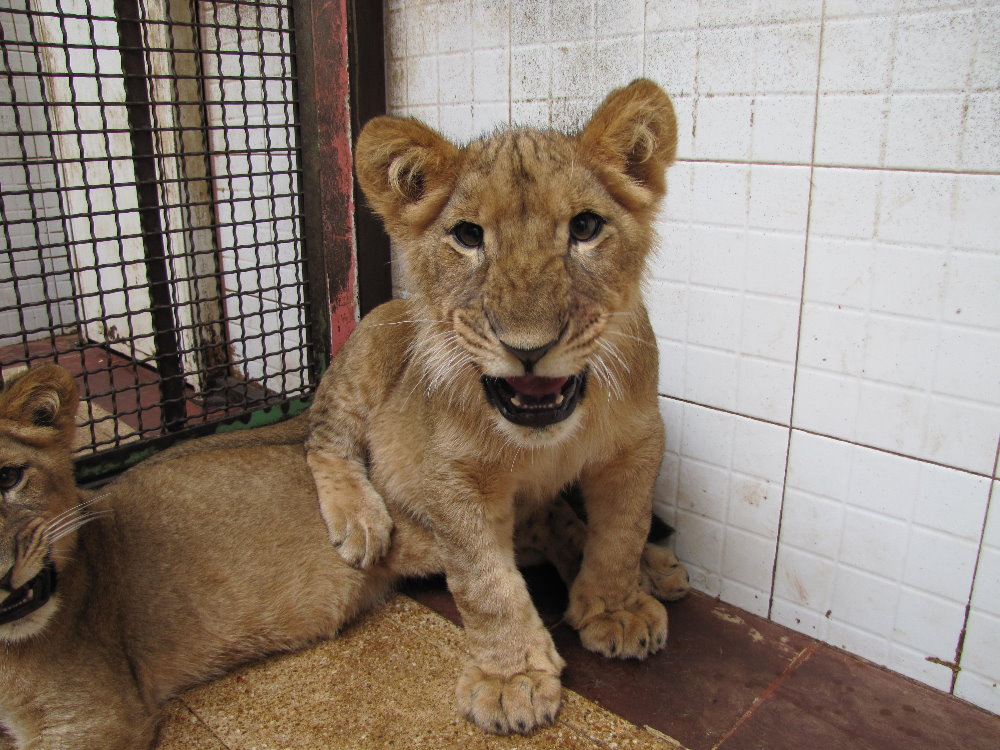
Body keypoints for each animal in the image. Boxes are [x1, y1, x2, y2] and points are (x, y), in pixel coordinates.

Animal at [0, 363, 686, 749]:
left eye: (9, 476)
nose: (6, 570)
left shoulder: (97, 716)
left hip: (426, 523)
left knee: (534, 523)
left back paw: (638, 587)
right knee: (537, 522)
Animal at [304, 79, 681, 735]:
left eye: (586, 226)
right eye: (468, 236)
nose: (528, 349)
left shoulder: (636, 444)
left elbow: (622, 533)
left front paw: (616, 607)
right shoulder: (454, 473)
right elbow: (486, 584)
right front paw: (511, 679)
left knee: (553, 523)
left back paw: (653, 570)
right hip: (366, 358)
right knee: (322, 441)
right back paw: (363, 522)